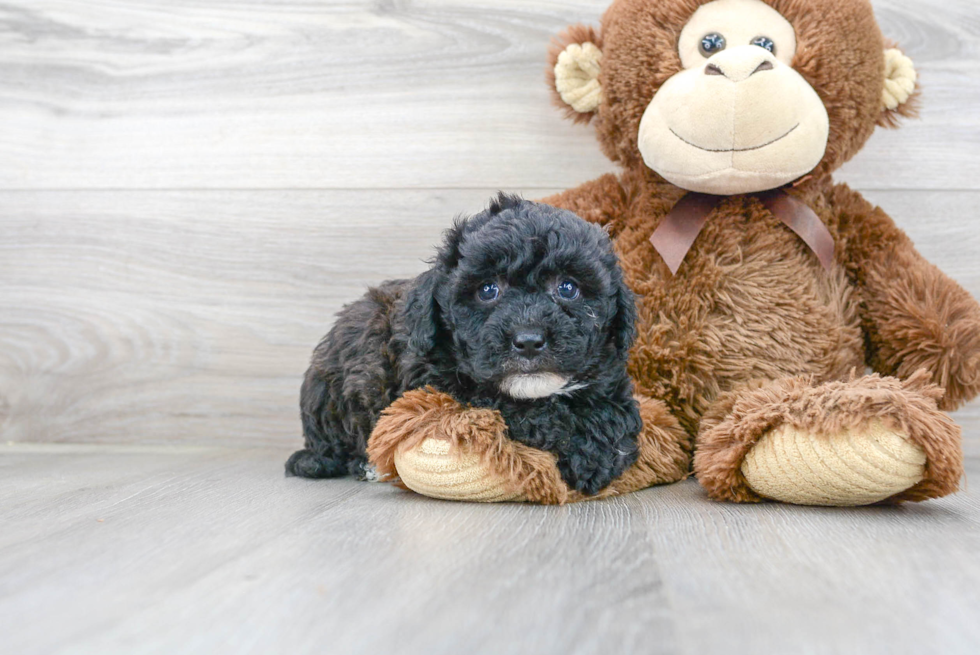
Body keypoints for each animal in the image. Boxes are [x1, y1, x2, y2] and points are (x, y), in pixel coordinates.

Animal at [288, 197, 644, 494]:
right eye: (488, 290)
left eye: (568, 288)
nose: (529, 341)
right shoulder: (438, 382)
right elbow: (502, 399)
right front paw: (580, 444)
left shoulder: (610, 377)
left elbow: (618, 411)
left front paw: (601, 447)